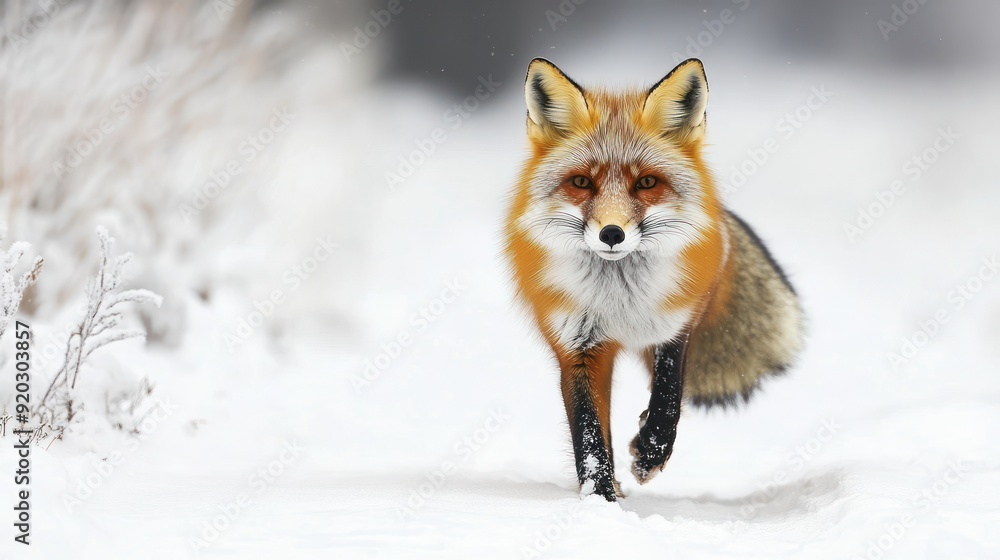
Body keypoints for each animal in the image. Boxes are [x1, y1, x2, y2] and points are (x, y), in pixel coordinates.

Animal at [503, 57, 805, 501]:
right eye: (581, 182)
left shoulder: (677, 323)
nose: (612, 233)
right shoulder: (577, 346)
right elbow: (590, 436)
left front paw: (650, 451)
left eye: (646, 182)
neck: (620, 301)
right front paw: (602, 499)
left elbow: (669, 395)